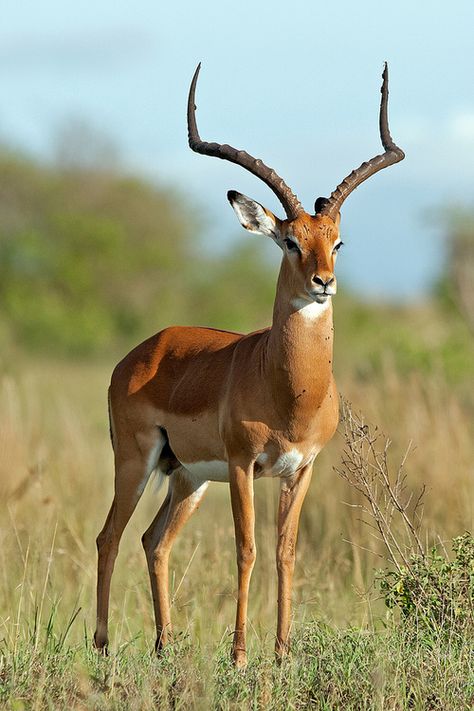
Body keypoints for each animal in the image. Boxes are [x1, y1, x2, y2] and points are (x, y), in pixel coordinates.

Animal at [95, 61, 404, 668]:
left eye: (337, 242)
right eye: (288, 241)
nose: (323, 283)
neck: (289, 392)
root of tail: (139, 352)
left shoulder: (300, 469)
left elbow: (285, 552)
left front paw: (282, 653)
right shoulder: (242, 465)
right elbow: (247, 549)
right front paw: (239, 655)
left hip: (186, 476)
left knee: (153, 542)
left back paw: (165, 646)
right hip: (137, 462)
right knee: (110, 537)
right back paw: (101, 646)